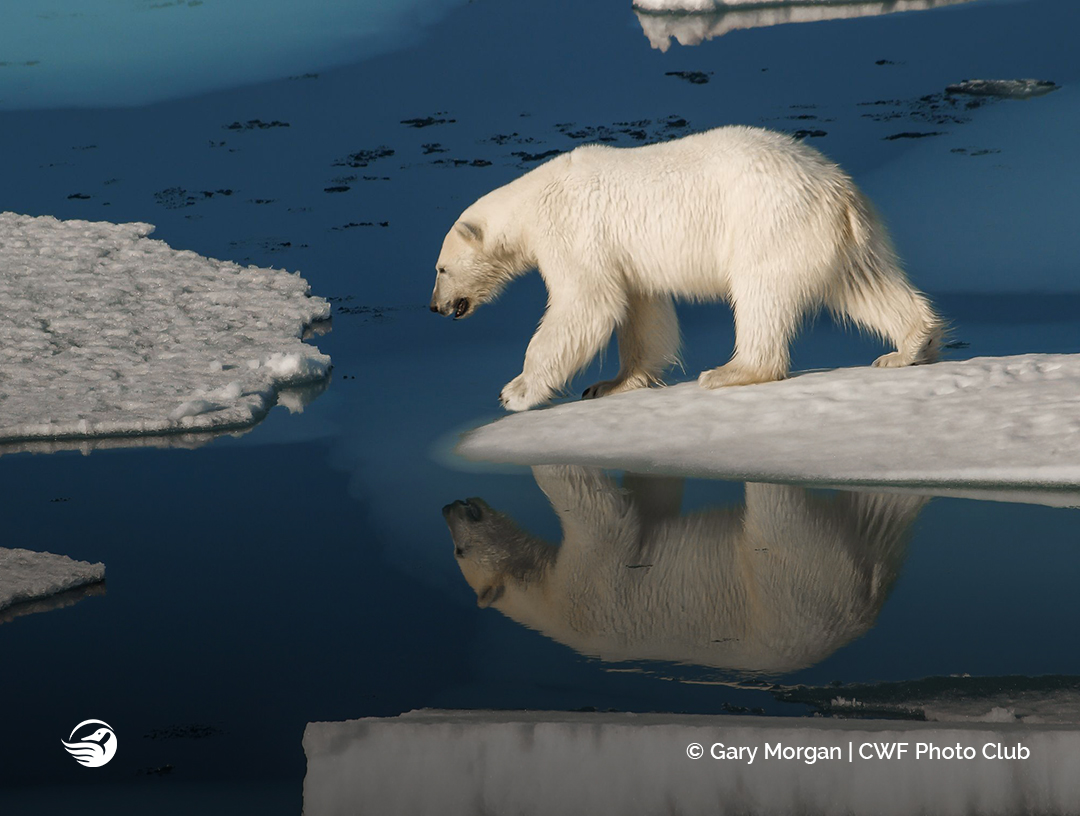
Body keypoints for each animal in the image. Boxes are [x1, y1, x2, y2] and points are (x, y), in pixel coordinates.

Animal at [429, 125, 943, 412]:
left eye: (439, 269)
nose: (434, 307)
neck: (532, 201)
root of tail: (838, 186)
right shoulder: (624, 254)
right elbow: (640, 308)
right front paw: (611, 384)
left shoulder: (573, 232)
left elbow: (585, 304)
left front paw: (515, 392)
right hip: (835, 236)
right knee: (864, 284)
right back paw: (910, 346)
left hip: (768, 220)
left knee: (759, 292)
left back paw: (732, 370)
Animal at [443, 465, 926, 674]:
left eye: (458, 550)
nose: (450, 506)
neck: (551, 602)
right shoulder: (588, 584)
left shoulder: (587, 585)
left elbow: (602, 516)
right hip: (814, 575)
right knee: (873, 513)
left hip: (788, 584)